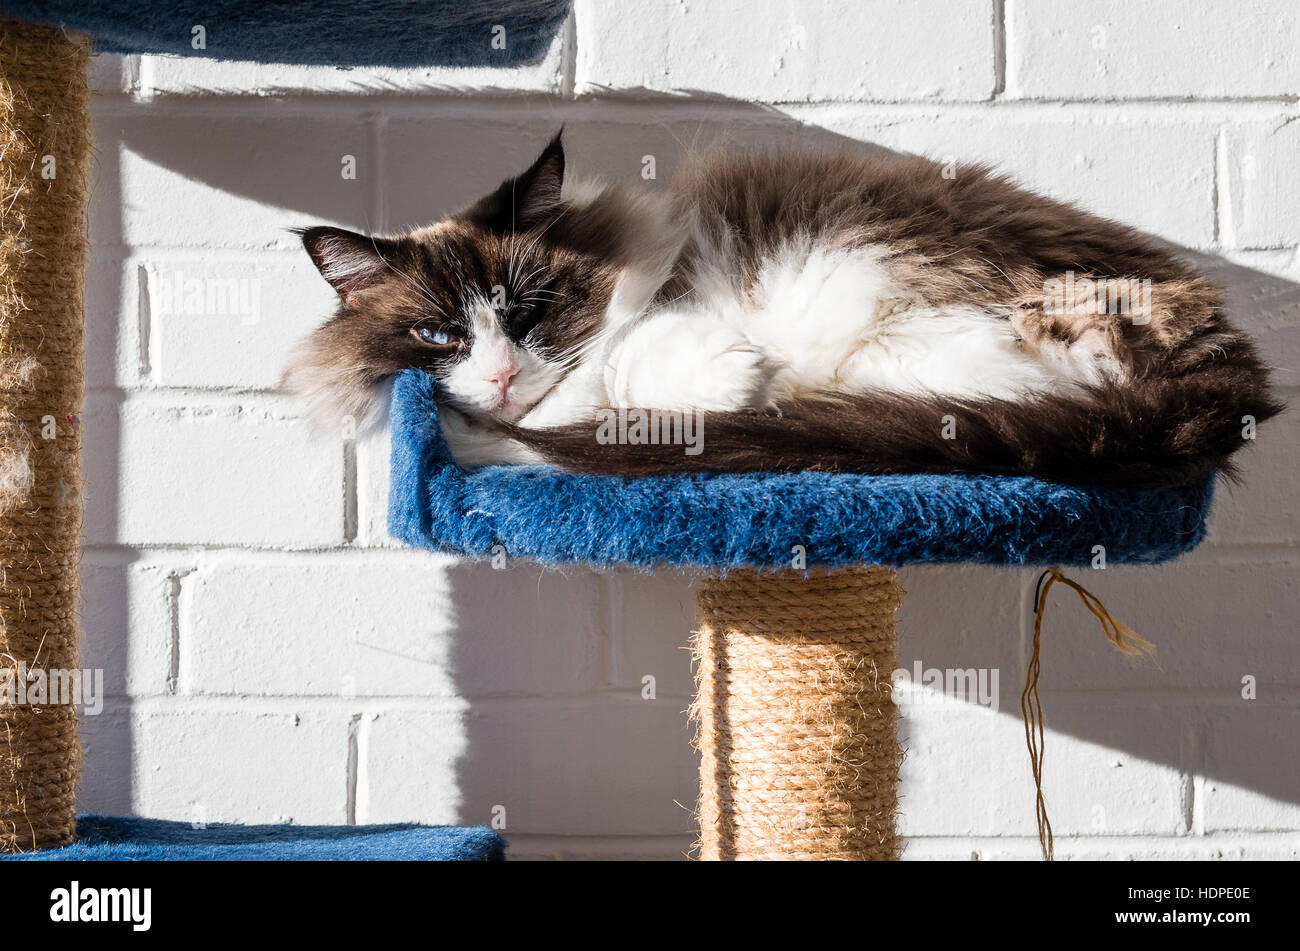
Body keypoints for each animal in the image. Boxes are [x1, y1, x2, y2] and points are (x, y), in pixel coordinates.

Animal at [287, 129, 1279, 485]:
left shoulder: (662, 313)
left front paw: (736, 383)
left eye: (530, 311)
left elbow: (645, 354)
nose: (497, 377)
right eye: (437, 334)